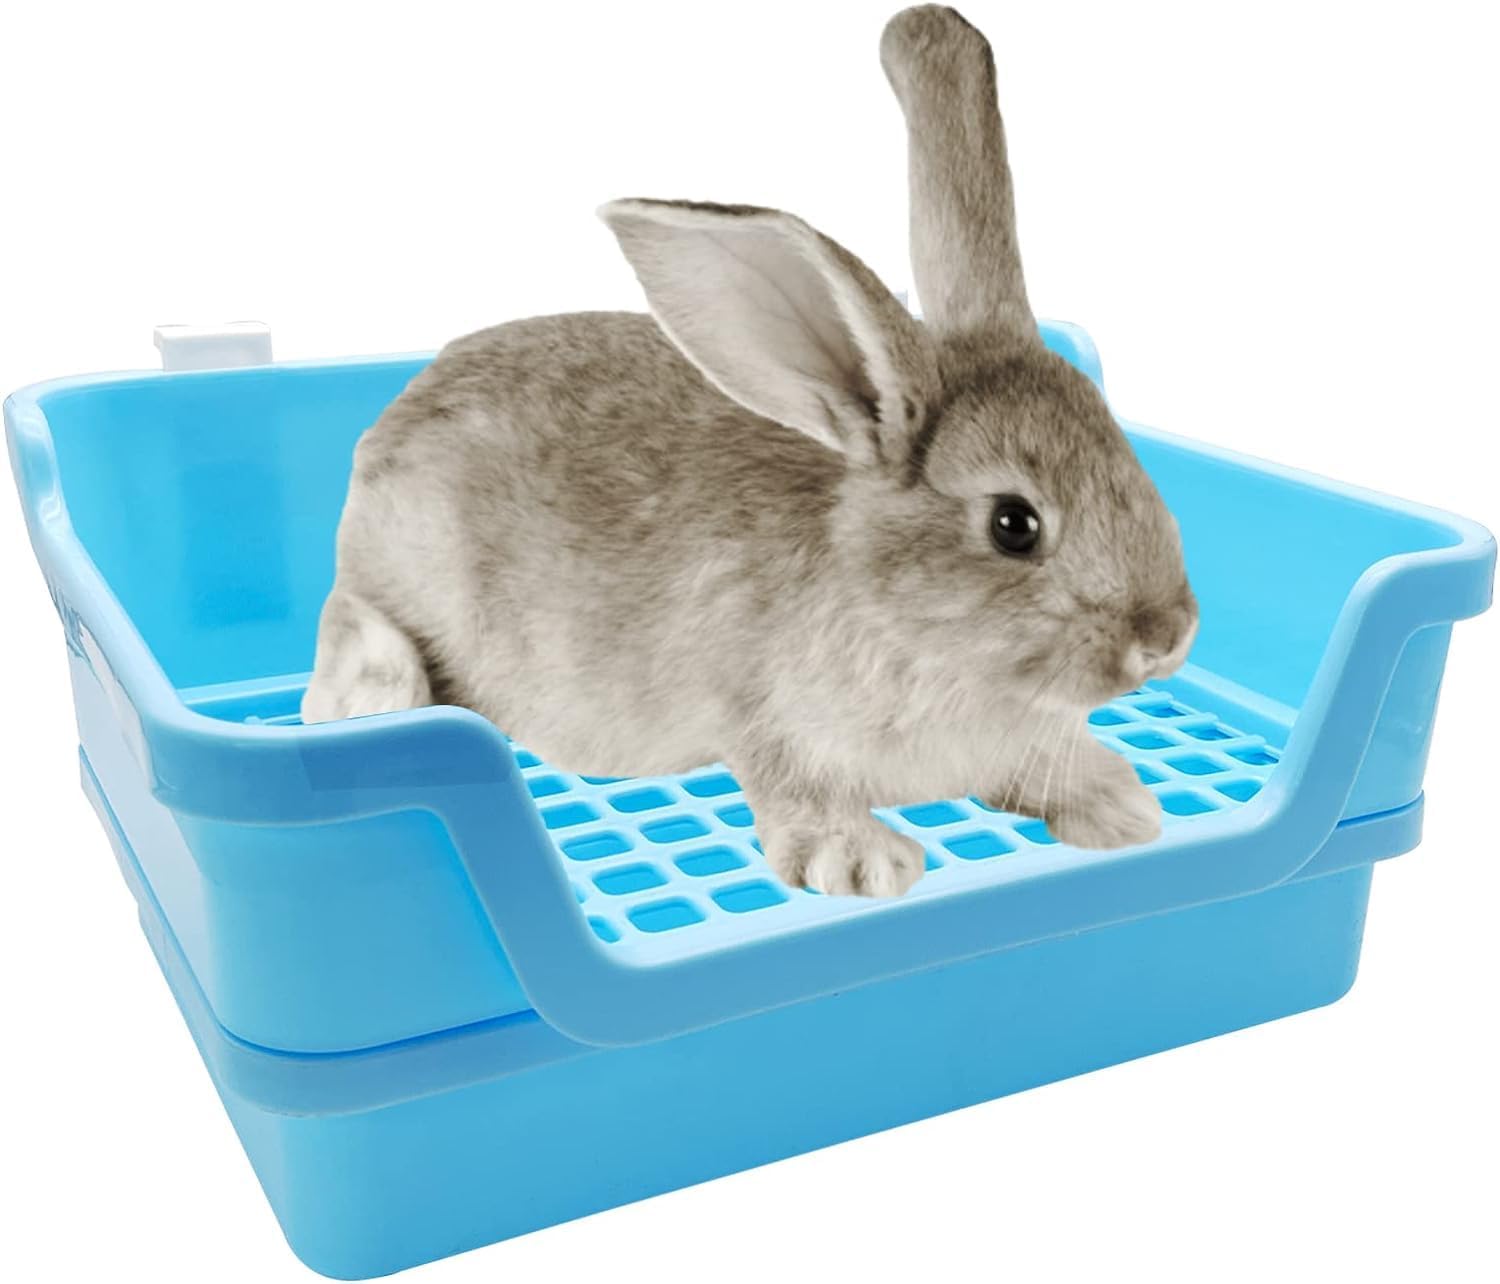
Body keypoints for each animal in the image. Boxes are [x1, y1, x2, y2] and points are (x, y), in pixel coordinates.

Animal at [302, 3, 1197, 898]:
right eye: (1014, 524)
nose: (1167, 637)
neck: (901, 618)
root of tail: (394, 414)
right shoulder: (769, 725)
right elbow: (793, 788)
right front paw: (863, 864)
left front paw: (1120, 807)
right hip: (394, 580)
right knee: (352, 619)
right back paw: (364, 698)